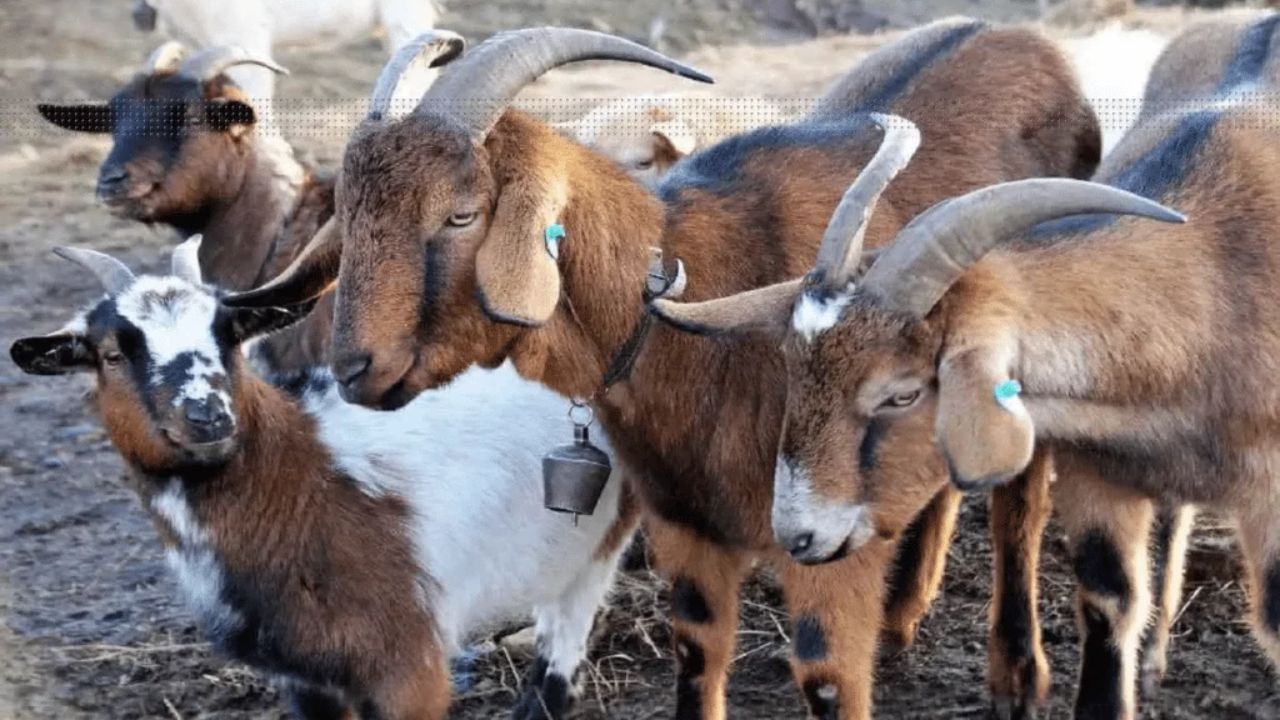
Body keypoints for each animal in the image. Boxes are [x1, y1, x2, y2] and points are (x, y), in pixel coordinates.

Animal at [7, 237, 632, 717]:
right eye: (111, 354)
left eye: (229, 336)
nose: (208, 415)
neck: (311, 479)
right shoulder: (304, 676)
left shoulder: (409, 663)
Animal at [232, 22, 1111, 717]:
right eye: (349, 214)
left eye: (460, 213)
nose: (355, 365)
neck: (689, 314)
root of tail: (1024, 38)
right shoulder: (688, 526)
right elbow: (697, 657)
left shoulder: (829, 535)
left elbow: (827, 676)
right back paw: (906, 612)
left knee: (1020, 505)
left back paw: (1017, 676)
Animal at [650, 12, 1280, 717]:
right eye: (792, 365)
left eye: (902, 393)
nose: (798, 535)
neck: (1214, 279)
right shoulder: (1100, 474)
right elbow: (1108, 601)